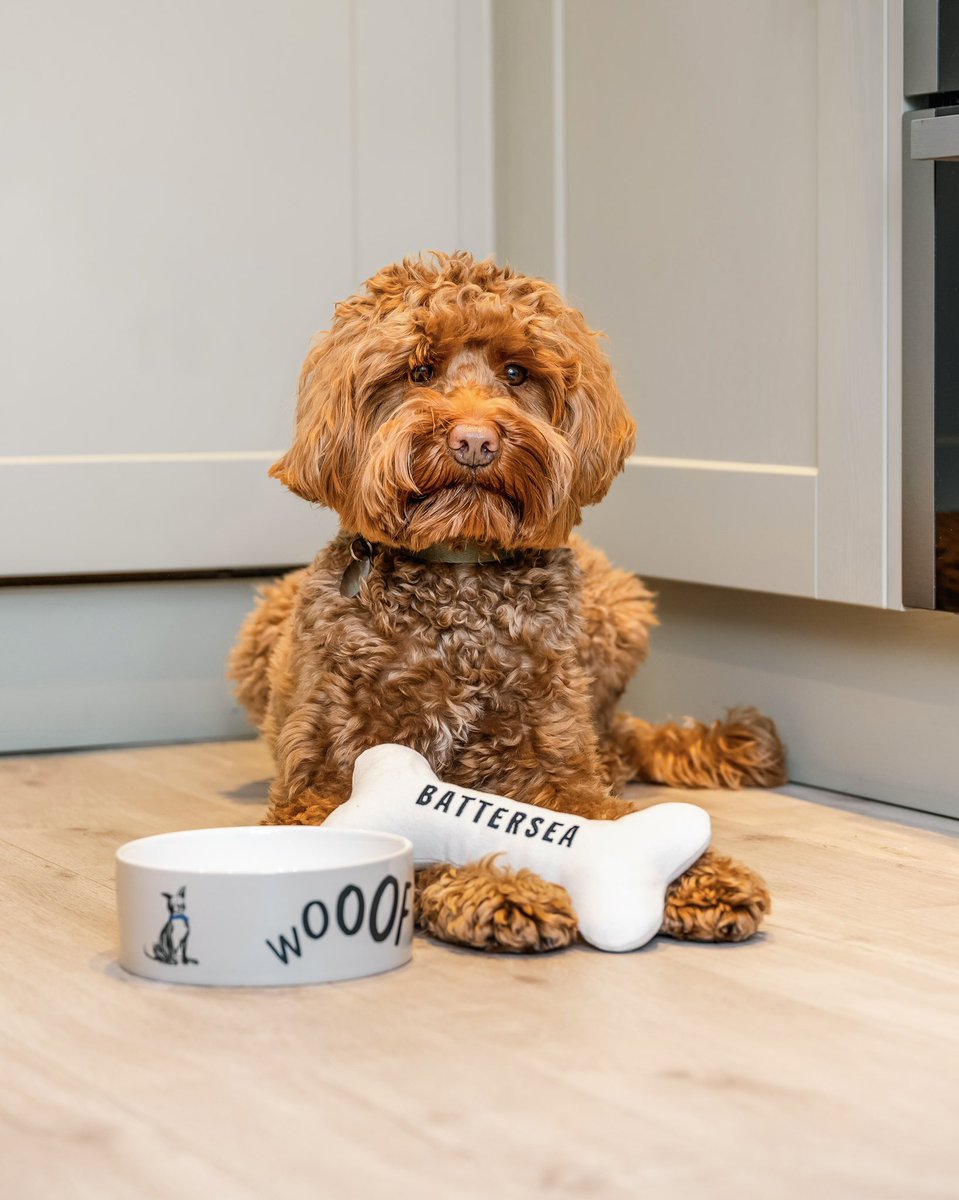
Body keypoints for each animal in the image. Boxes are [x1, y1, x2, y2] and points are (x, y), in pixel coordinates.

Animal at [229, 253, 782, 955]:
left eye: (517, 372)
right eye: (418, 372)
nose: (474, 441)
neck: (459, 588)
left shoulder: (554, 759)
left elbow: (599, 811)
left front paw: (698, 874)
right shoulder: (320, 787)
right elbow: (419, 837)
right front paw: (499, 889)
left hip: (617, 610)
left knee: (616, 742)